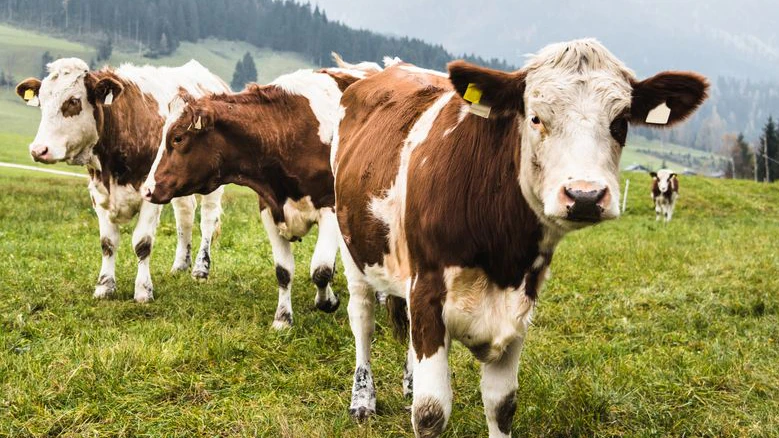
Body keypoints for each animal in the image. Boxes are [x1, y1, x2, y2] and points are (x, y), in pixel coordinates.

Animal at [15, 58, 230, 303]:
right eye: (42, 101)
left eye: (73, 101)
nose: (38, 150)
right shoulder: (98, 193)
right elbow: (107, 243)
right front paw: (104, 286)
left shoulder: (149, 193)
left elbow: (142, 243)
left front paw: (143, 291)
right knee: (184, 215)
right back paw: (180, 265)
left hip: (212, 184)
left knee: (208, 219)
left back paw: (201, 269)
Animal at [140, 61, 379, 328]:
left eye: (178, 138)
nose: (147, 189)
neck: (287, 132)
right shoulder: (269, 208)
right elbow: (283, 271)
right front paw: (282, 319)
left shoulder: (330, 208)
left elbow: (321, 269)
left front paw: (328, 301)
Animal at [332, 39, 708, 437]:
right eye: (536, 117)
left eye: (620, 122)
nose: (585, 196)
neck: (499, 253)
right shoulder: (427, 291)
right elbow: (430, 412)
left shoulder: (518, 303)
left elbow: (502, 405)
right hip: (353, 246)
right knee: (363, 319)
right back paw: (362, 400)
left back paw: (408, 381)